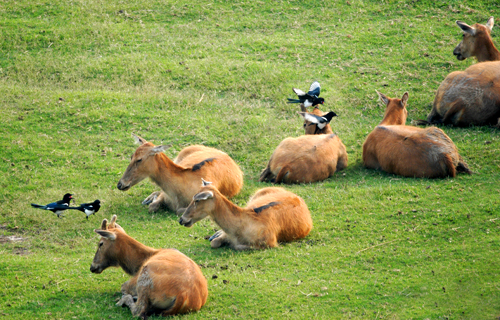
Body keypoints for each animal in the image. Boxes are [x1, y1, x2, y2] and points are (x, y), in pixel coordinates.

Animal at [180, 180, 312, 250]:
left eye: (197, 200)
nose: (182, 219)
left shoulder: (271, 243)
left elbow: (238, 246)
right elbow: (214, 243)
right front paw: (216, 236)